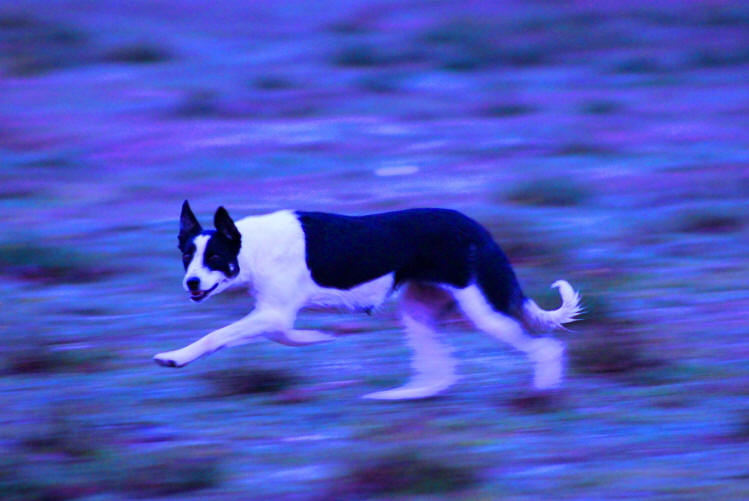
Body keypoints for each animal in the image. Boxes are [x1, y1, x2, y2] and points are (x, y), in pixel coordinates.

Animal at [155, 201, 580, 400]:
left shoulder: (273, 314)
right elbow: (280, 335)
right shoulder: (273, 314)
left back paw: (543, 395)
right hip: (417, 311)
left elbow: (219, 336)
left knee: (546, 349)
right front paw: (315, 338)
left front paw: (176, 357)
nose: (191, 282)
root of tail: (481, 230)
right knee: (439, 373)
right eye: (187, 255)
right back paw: (402, 396)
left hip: (483, 311)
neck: (251, 249)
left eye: (215, 258)